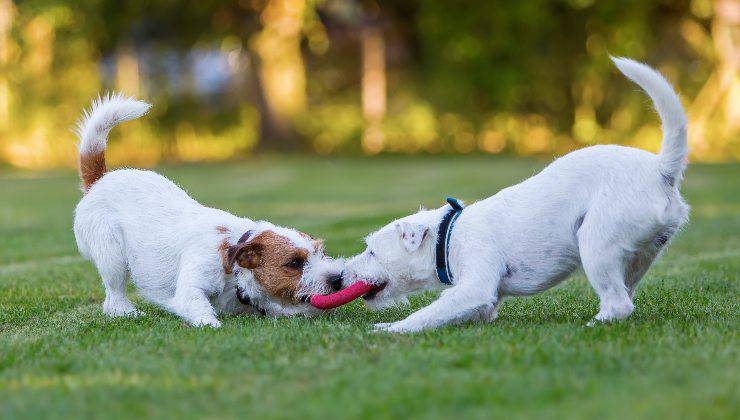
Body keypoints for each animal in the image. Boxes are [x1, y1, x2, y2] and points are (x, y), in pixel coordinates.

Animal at [72, 93, 344, 326]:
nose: (337, 279)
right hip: (113, 258)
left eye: (322, 252)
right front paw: (211, 324)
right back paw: (127, 313)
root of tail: (100, 179)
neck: (233, 263)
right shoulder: (191, 287)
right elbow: (198, 307)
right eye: (294, 263)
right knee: (113, 297)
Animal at [344, 57, 692, 334]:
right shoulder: (483, 301)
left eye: (372, 252)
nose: (341, 276)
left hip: (596, 243)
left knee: (618, 303)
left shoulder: (474, 287)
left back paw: (592, 325)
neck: (448, 235)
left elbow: (426, 314)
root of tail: (661, 169)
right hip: (638, 256)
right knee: (625, 296)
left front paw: (389, 328)